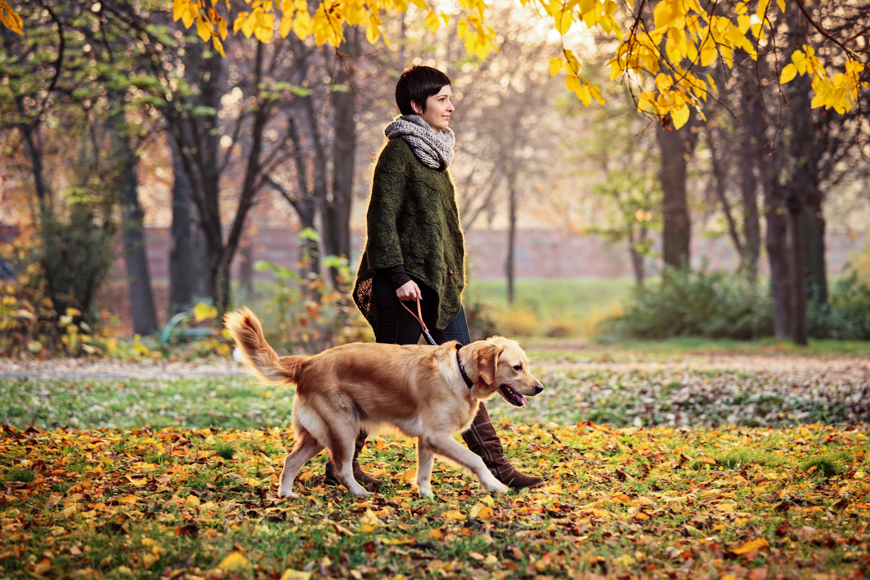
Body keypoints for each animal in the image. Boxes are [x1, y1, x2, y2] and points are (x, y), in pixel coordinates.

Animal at [227, 308, 544, 498]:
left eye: (526, 366)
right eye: (517, 368)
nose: (539, 388)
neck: (461, 372)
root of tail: (308, 362)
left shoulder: (427, 440)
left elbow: (424, 472)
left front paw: (426, 496)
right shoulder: (437, 435)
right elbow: (476, 459)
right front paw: (495, 485)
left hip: (318, 434)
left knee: (291, 460)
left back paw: (286, 495)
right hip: (343, 428)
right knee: (341, 469)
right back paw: (361, 494)